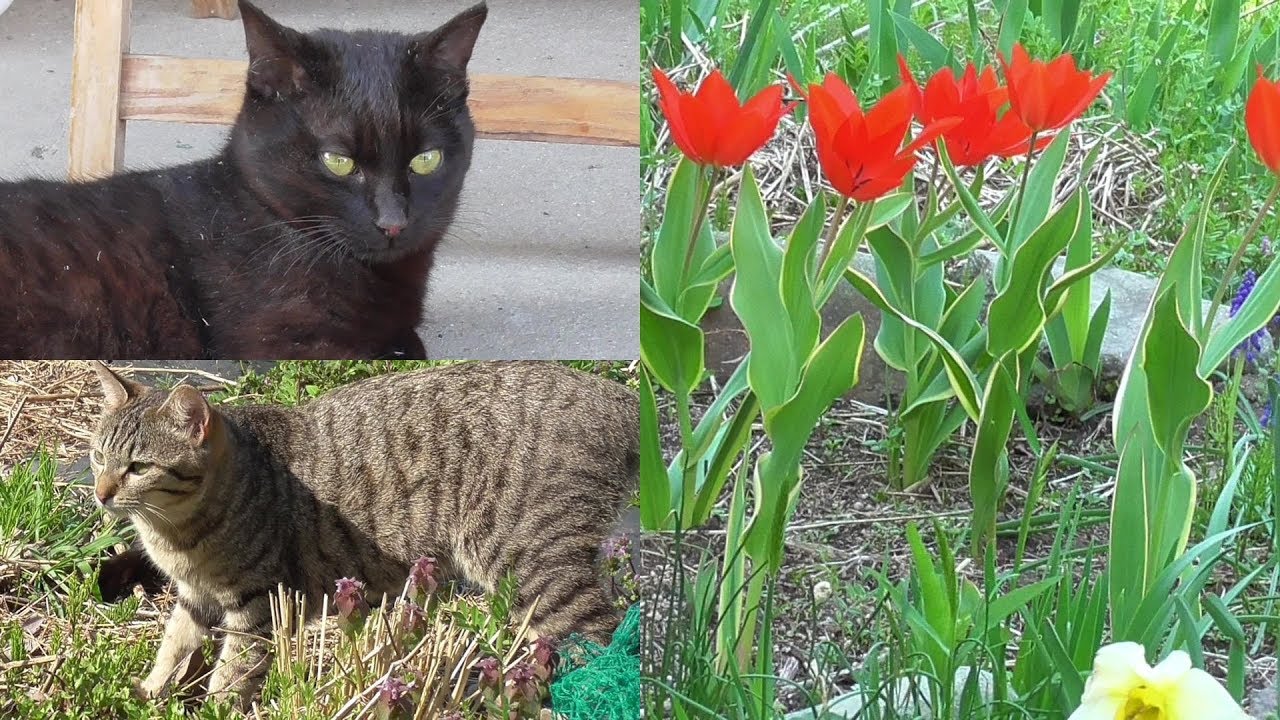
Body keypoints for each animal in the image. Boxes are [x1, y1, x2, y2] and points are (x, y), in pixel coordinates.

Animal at [87, 356, 637, 702]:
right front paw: (151, 690)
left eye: (138, 467)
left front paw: (216, 705)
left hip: (533, 565)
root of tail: (618, 396)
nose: (100, 492)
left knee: (601, 642)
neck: (174, 538)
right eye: (96, 456)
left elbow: (234, 672)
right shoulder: (193, 597)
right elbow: (174, 644)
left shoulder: (258, 604)